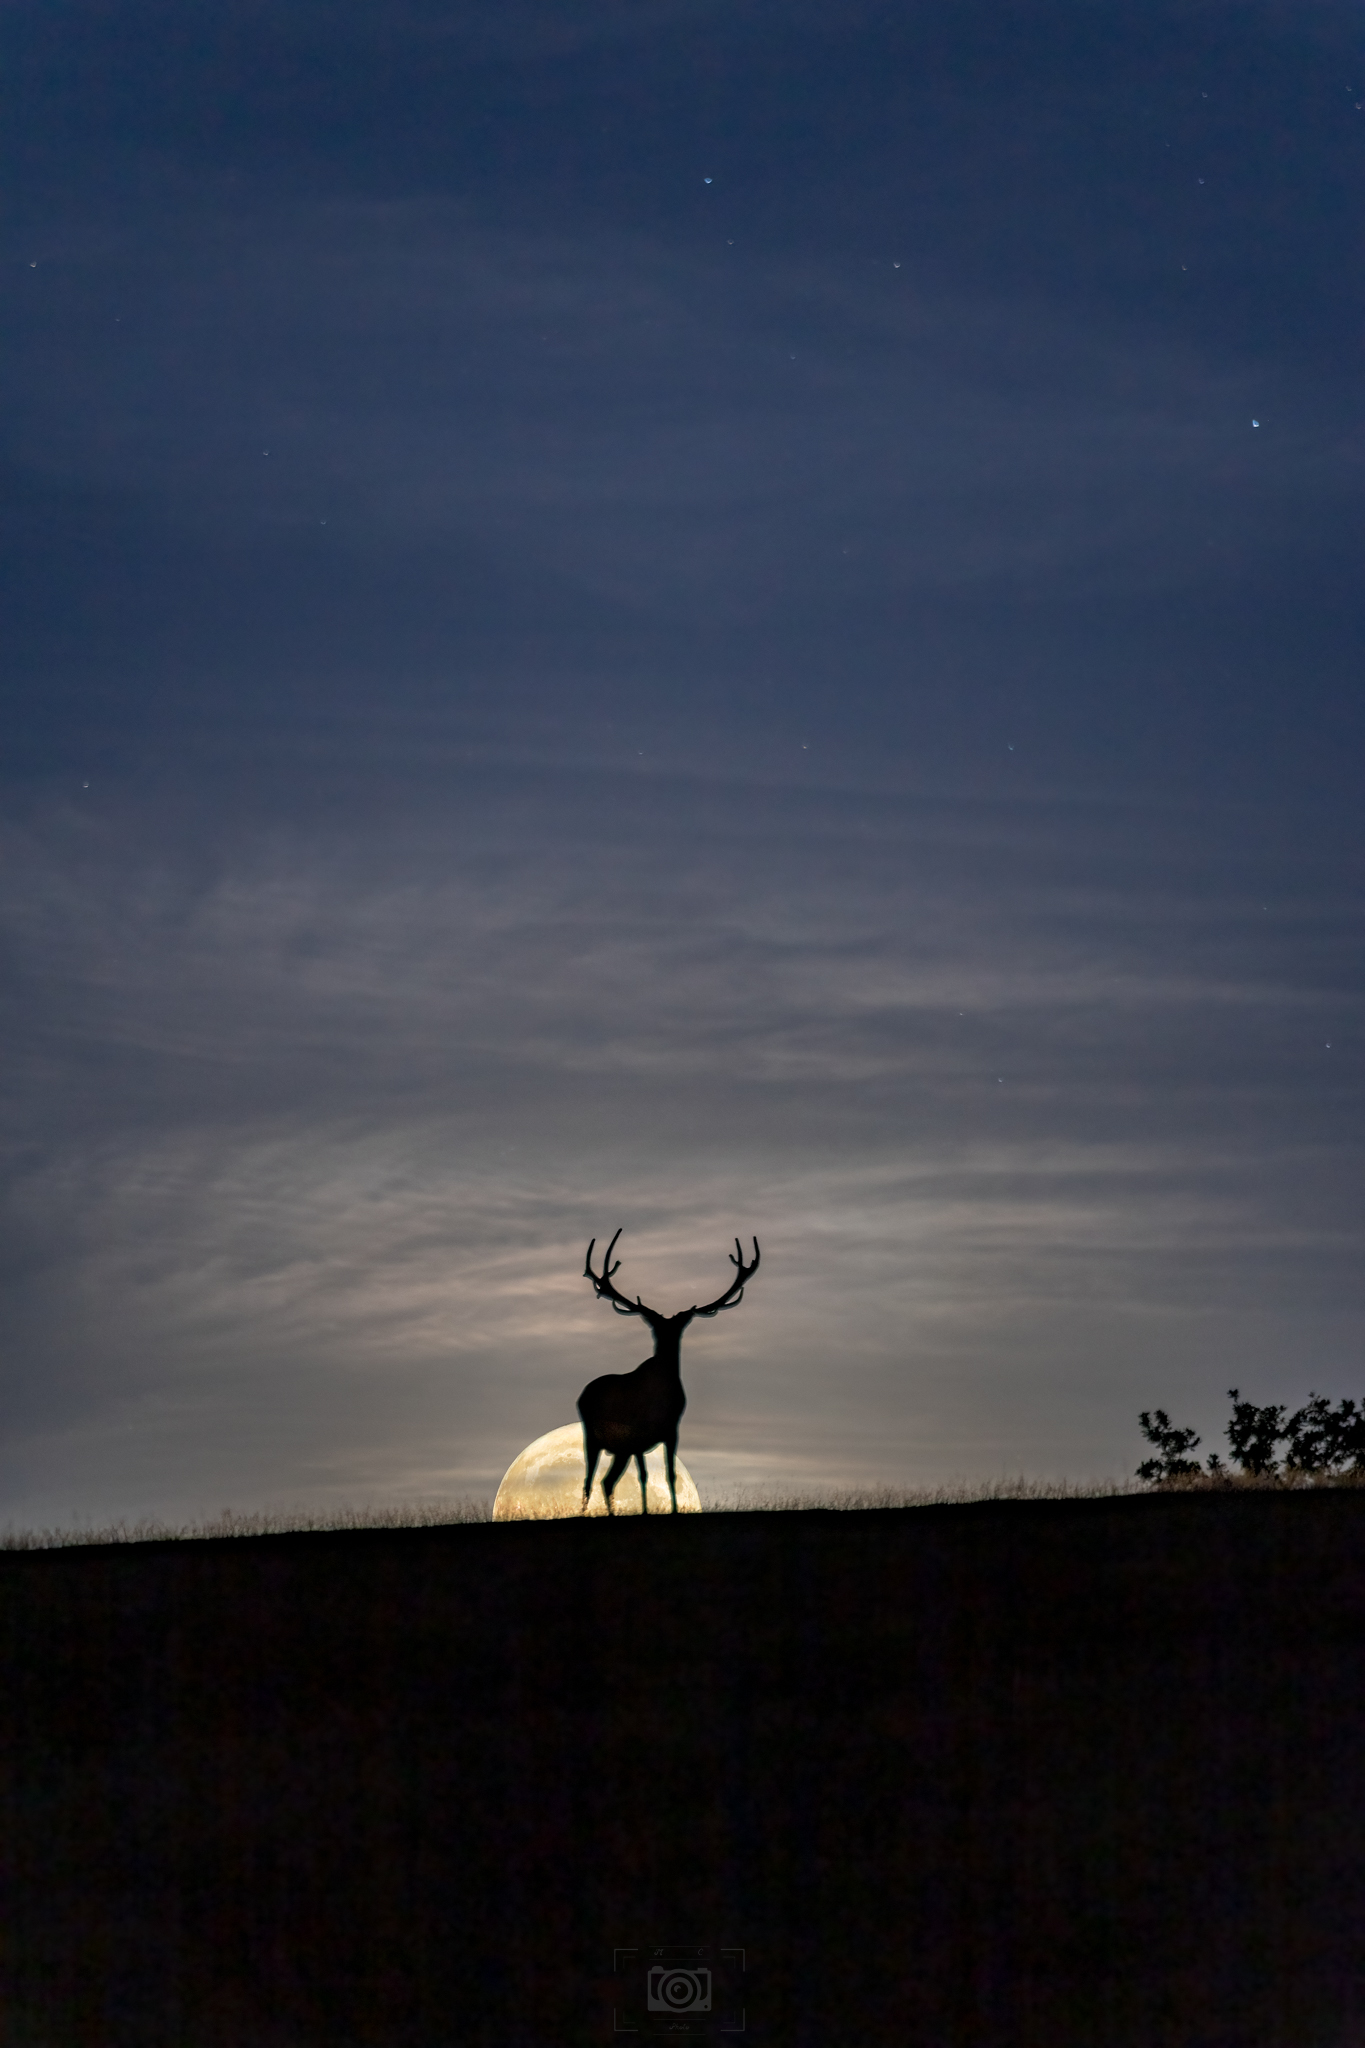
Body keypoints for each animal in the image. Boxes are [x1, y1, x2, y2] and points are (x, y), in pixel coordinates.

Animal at [578, 1229, 761, 1515]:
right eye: (656, 1326)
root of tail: (582, 1395)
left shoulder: (671, 1429)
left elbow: (670, 1474)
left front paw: (671, 1508)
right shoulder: (638, 1433)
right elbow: (644, 1476)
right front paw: (645, 1510)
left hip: (618, 1448)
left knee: (606, 1481)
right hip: (592, 1437)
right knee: (588, 1480)